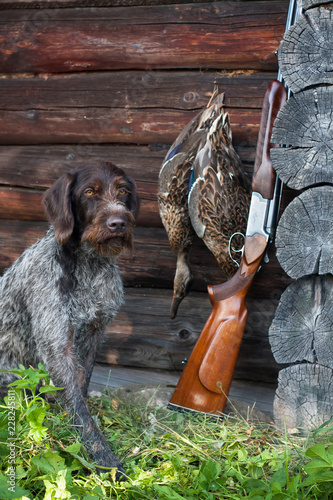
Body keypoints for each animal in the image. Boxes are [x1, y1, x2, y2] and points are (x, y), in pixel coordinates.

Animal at [0, 161, 139, 476]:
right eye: (89, 192)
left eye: (123, 191)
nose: (118, 223)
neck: (90, 266)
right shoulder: (56, 346)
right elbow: (81, 411)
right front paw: (105, 460)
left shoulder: (94, 333)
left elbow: (81, 390)